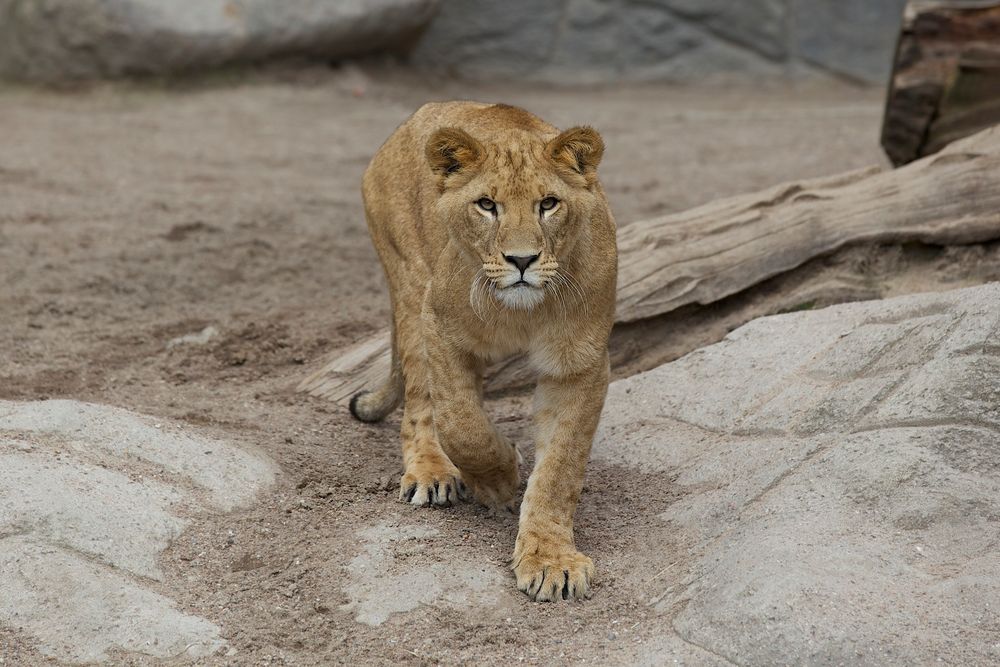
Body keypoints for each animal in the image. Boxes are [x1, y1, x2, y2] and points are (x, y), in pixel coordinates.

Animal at [350, 102, 616, 604]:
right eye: (487, 205)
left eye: (548, 203)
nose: (522, 260)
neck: (523, 313)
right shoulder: (440, 327)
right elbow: (462, 425)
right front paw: (499, 479)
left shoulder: (579, 363)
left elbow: (561, 466)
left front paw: (550, 560)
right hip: (411, 287)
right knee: (420, 402)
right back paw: (431, 473)